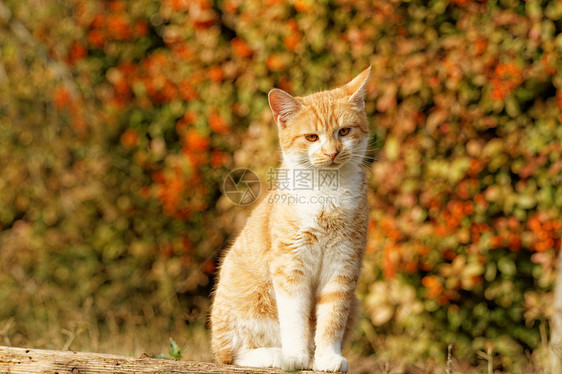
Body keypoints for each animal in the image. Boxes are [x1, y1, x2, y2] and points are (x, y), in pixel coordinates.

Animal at [208, 66, 370, 372]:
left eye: (344, 131)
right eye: (311, 137)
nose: (332, 152)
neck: (326, 192)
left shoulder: (343, 263)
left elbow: (332, 316)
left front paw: (326, 357)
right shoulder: (290, 264)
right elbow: (295, 319)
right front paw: (295, 357)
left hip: (355, 303)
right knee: (233, 355)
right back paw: (276, 355)